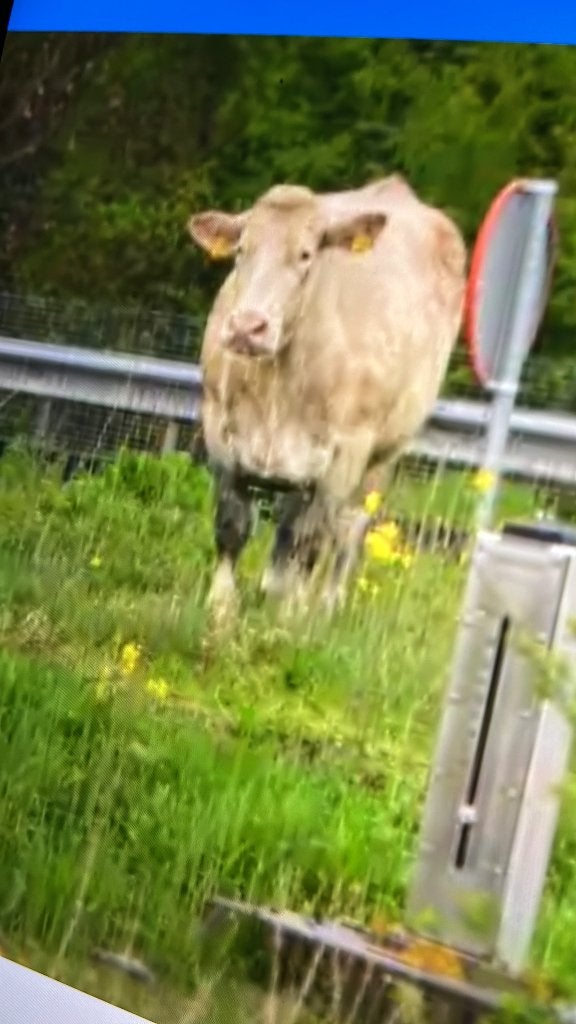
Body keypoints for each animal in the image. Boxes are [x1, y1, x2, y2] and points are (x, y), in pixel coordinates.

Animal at [187, 175, 467, 620]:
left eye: (305, 255)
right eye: (242, 250)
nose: (247, 327)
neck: (276, 388)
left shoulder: (345, 454)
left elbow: (312, 541)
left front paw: (290, 618)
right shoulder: (219, 431)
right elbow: (232, 525)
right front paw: (222, 607)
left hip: (383, 455)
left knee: (348, 529)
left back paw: (326, 605)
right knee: (290, 523)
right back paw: (273, 587)